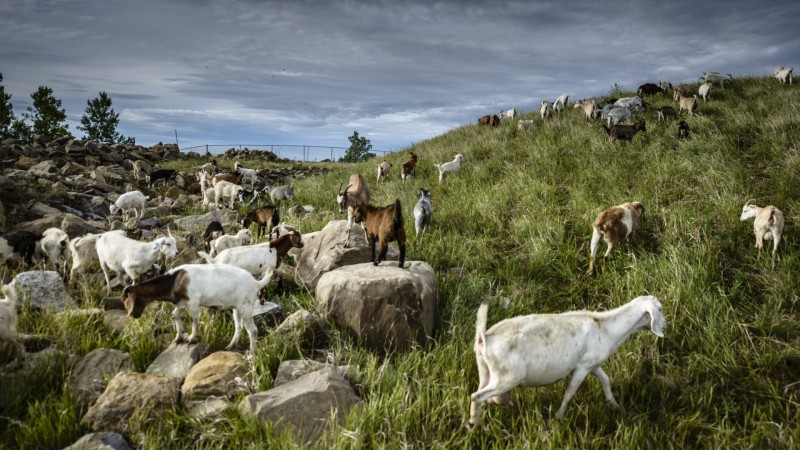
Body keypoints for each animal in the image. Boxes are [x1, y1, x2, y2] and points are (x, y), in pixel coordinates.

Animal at [122, 264, 275, 353]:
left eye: (129, 300)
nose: (133, 315)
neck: (175, 280)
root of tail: (256, 283)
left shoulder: (193, 302)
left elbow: (194, 319)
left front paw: (192, 338)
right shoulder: (182, 303)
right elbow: (174, 315)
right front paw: (178, 337)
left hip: (245, 306)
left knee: (253, 330)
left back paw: (252, 353)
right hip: (237, 308)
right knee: (239, 327)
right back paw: (230, 346)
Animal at [468, 295, 666, 425]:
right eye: (660, 309)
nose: (665, 325)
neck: (605, 327)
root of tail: (484, 338)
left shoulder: (592, 363)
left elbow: (605, 380)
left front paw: (614, 404)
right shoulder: (582, 367)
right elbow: (570, 392)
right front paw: (559, 416)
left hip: (486, 370)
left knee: (480, 395)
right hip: (507, 377)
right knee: (477, 396)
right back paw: (474, 426)